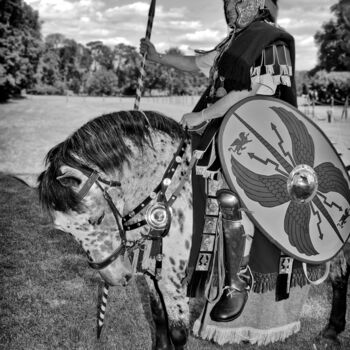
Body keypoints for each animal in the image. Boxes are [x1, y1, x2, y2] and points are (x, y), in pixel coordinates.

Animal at [37, 108, 348, 348]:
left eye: (97, 218)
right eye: (67, 232)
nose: (116, 277)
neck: (165, 187)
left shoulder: (173, 279)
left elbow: (177, 332)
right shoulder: (154, 275)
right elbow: (158, 321)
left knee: (340, 278)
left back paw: (331, 330)